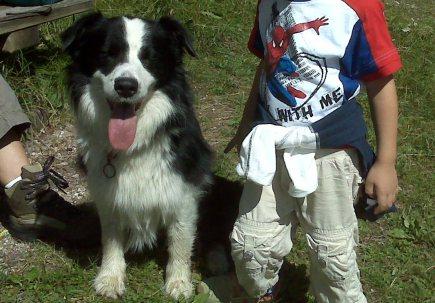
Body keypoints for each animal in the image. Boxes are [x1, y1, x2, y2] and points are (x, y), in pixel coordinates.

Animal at [62, 13, 212, 300]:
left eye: (149, 57)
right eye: (107, 54)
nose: (126, 86)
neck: (133, 146)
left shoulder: (183, 191)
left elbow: (180, 240)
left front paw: (178, 282)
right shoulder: (107, 192)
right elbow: (110, 238)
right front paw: (110, 277)